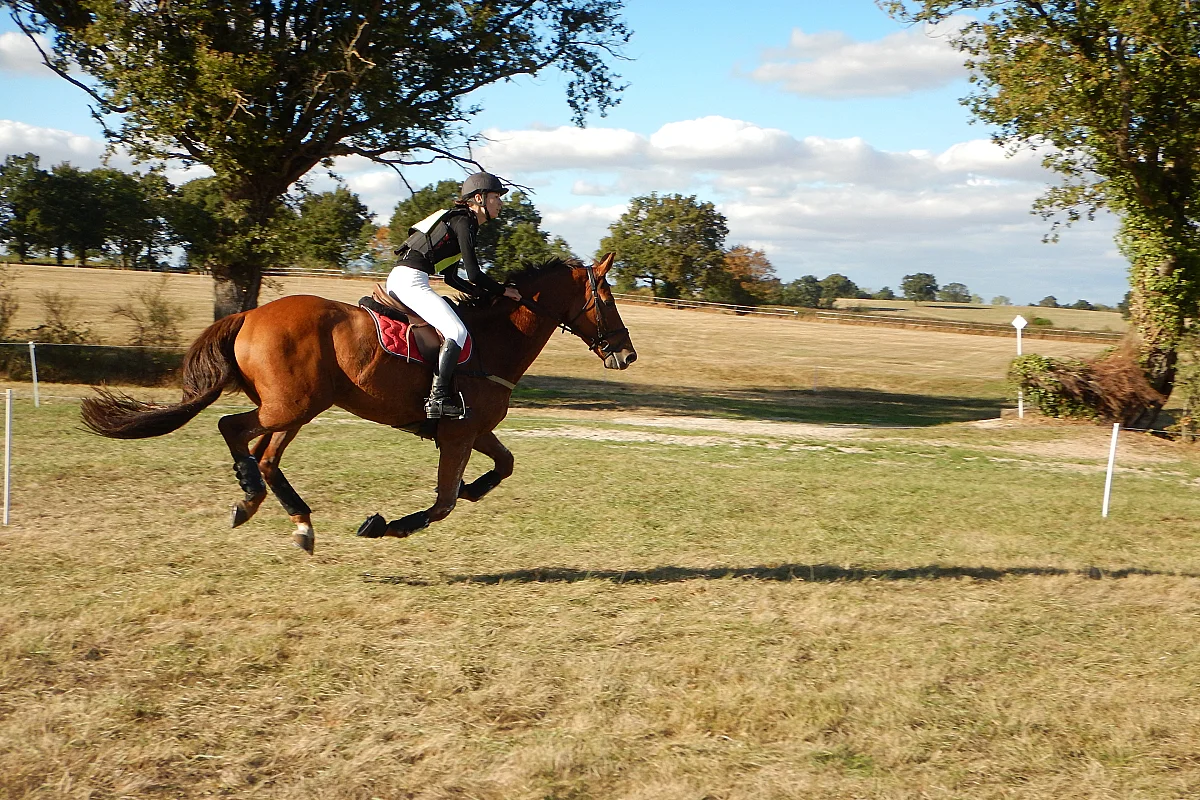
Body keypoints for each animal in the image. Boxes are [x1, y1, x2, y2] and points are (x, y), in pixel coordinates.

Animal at [80, 254, 637, 554]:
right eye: (608, 298)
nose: (626, 354)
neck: (494, 338)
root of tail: (249, 315)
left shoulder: (474, 431)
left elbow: (503, 466)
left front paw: (475, 488)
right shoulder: (458, 433)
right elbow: (443, 503)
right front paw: (387, 525)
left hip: (297, 408)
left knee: (262, 454)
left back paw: (277, 511)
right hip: (291, 406)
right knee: (236, 432)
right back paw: (266, 505)